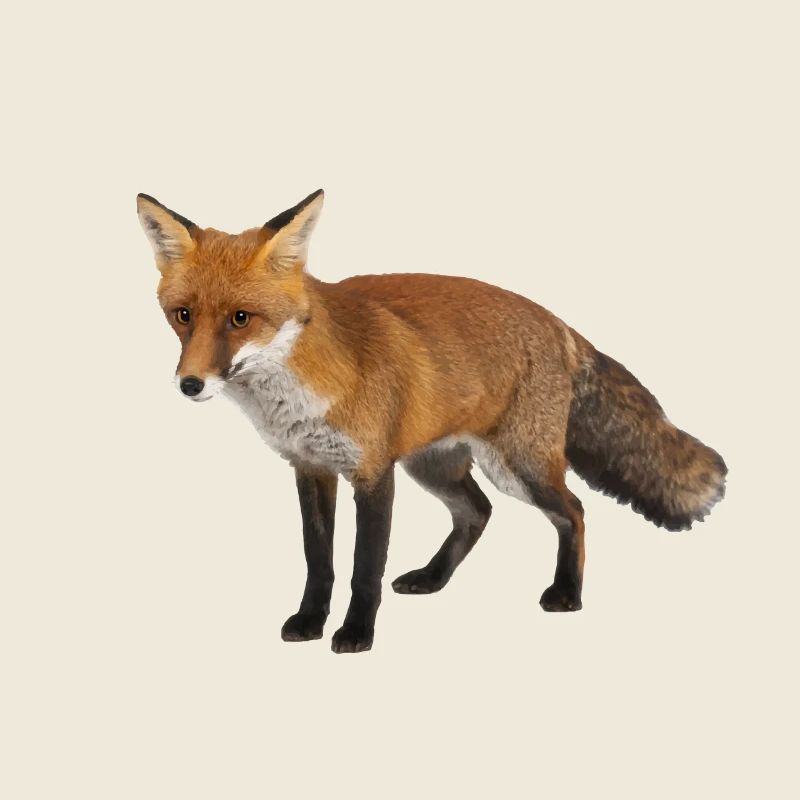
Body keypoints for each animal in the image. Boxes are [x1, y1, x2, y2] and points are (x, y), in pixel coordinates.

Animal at [137, 189, 727, 654]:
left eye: (241, 319)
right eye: (183, 315)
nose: (190, 384)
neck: (297, 391)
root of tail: (559, 323)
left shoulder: (373, 472)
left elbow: (364, 567)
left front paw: (356, 634)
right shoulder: (310, 468)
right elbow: (318, 561)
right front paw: (309, 621)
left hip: (519, 467)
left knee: (574, 512)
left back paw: (567, 594)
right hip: (435, 466)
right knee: (478, 513)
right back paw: (433, 578)